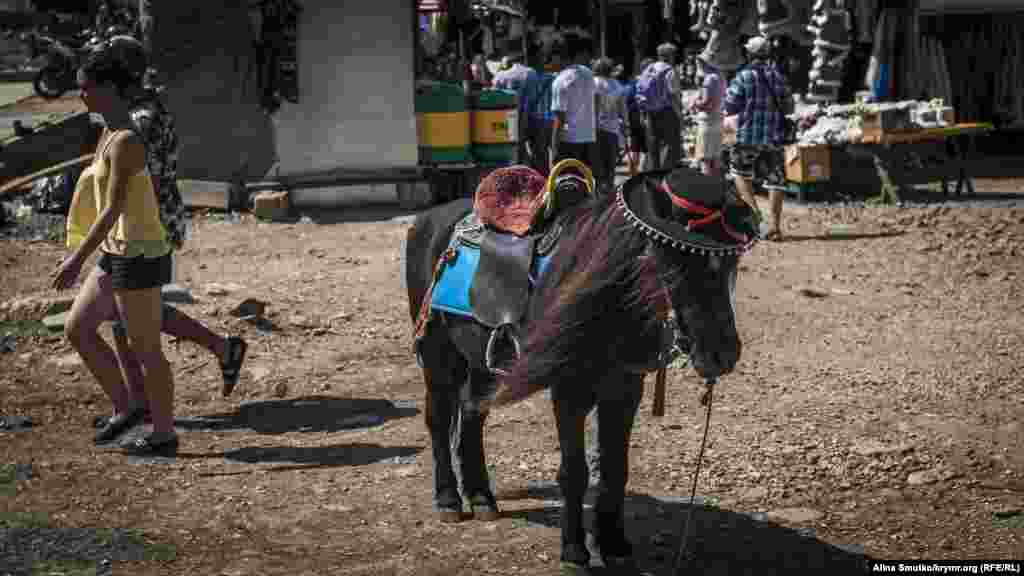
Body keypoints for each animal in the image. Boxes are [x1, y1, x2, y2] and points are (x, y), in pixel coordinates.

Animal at [403, 163, 757, 569]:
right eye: (674, 260)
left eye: (731, 262)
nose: (720, 354)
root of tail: (428, 218)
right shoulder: (569, 393)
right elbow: (574, 471)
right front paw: (574, 550)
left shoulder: (624, 391)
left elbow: (615, 468)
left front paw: (614, 545)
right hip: (438, 358)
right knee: (439, 419)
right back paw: (448, 498)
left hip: (481, 365)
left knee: (471, 413)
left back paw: (481, 497)